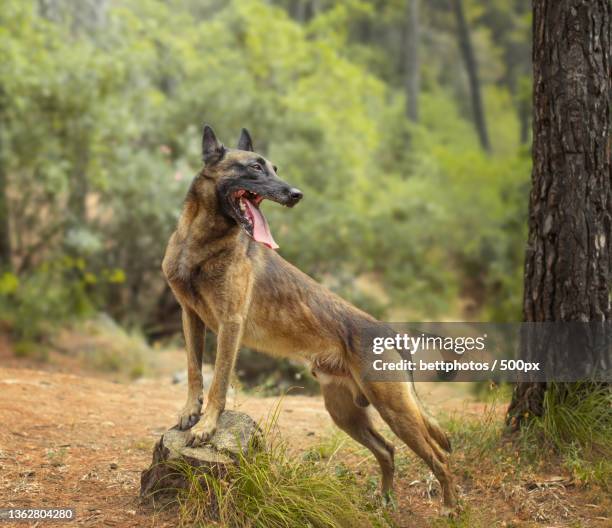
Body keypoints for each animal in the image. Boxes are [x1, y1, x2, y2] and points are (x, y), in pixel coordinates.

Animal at [160, 125, 456, 508]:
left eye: (275, 168)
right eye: (254, 168)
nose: (296, 194)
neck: (201, 242)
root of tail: (391, 333)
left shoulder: (230, 325)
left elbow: (219, 383)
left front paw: (207, 426)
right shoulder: (191, 317)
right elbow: (195, 371)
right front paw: (189, 413)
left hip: (395, 410)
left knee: (440, 457)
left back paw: (452, 509)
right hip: (346, 413)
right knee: (388, 450)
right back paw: (384, 503)